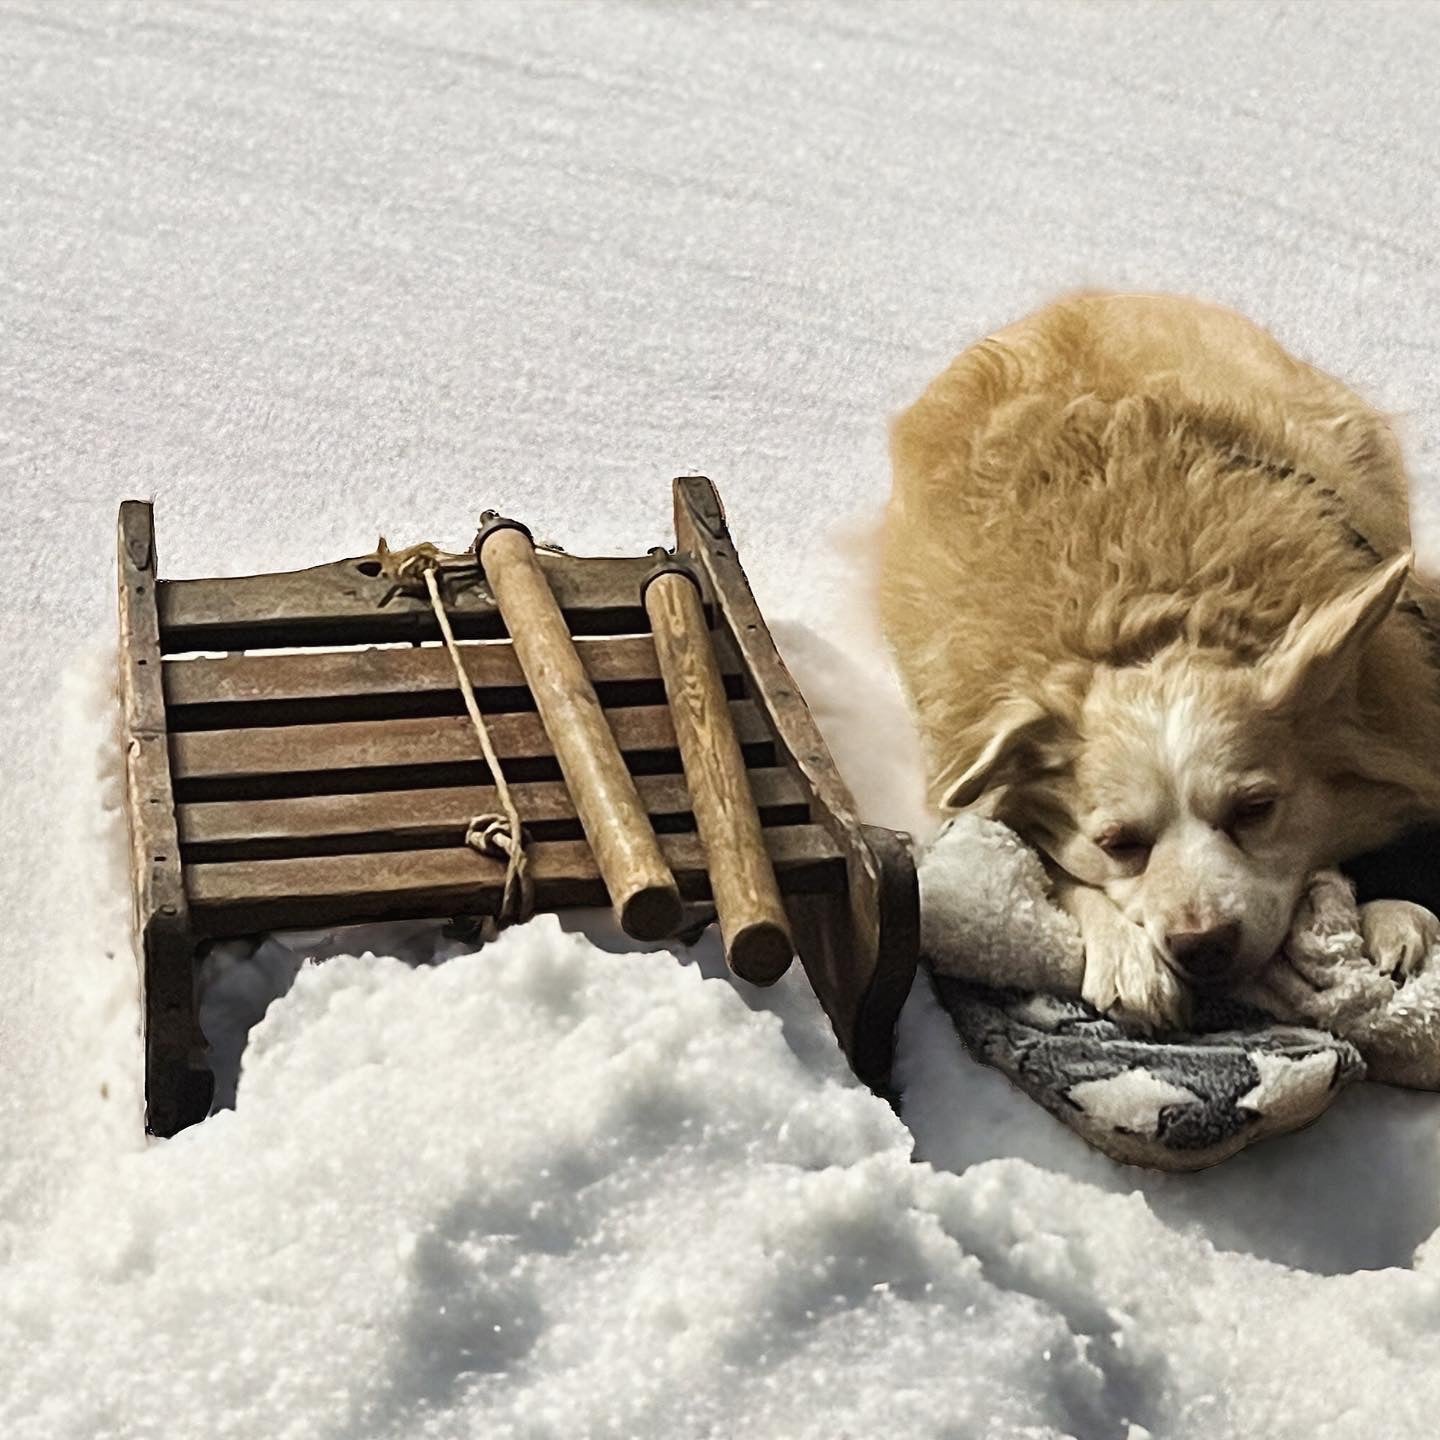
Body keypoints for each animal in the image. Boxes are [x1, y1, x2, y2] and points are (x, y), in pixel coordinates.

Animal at [881, 292, 1440, 1031]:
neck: (1153, 625)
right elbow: (1041, 858)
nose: (1202, 944)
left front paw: (1392, 913)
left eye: (1256, 808)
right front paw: (1127, 955)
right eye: (1119, 842)